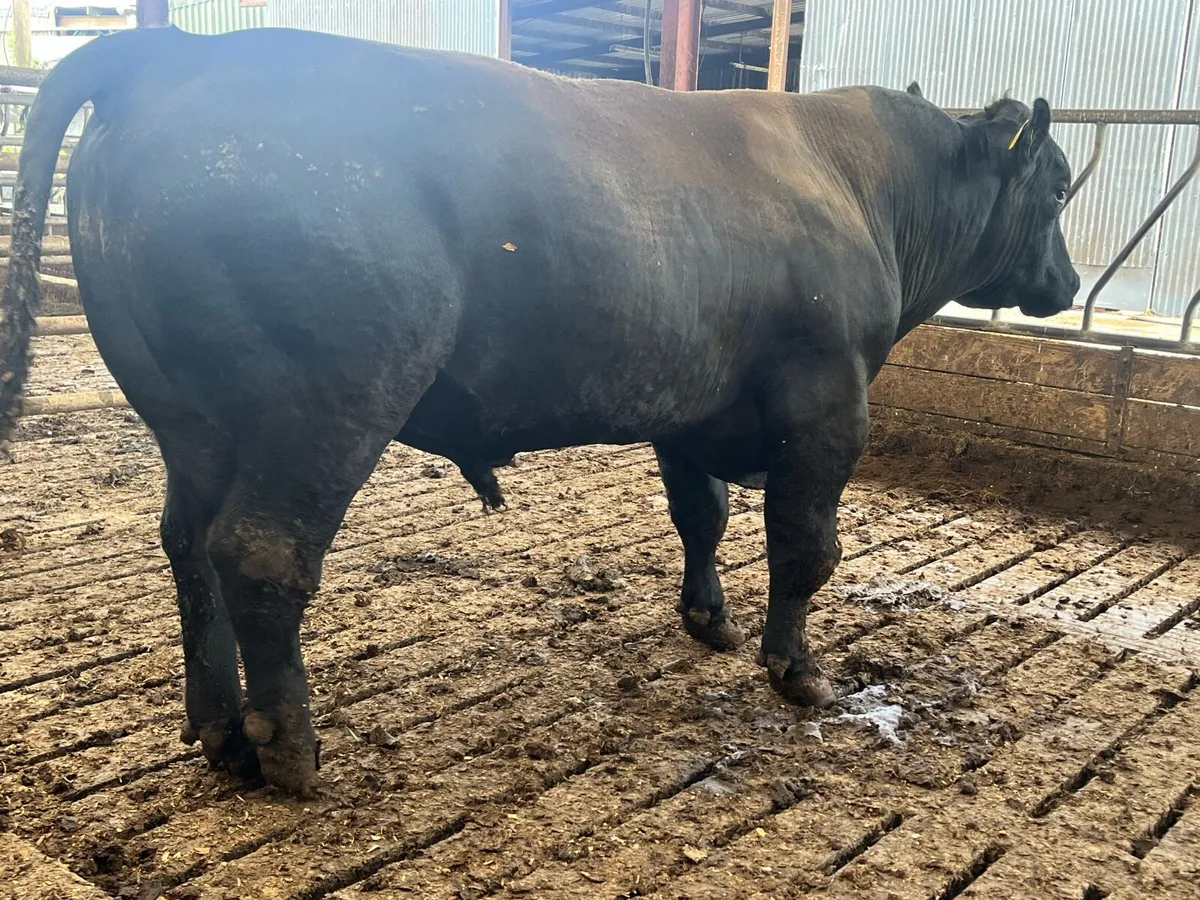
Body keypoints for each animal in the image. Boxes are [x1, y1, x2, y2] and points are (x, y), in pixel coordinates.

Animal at [0, 26, 1079, 796]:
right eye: (1061, 186)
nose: (1068, 283)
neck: (858, 182)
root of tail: (178, 47)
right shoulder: (828, 401)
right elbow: (806, 548)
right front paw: (799, 672)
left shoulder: (690, 406)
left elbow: (702, 517)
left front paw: (709, 622)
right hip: (324, 405)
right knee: (261, 554)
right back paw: (292, 753)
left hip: (188, 420)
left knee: (188, 549)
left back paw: (223, 735)